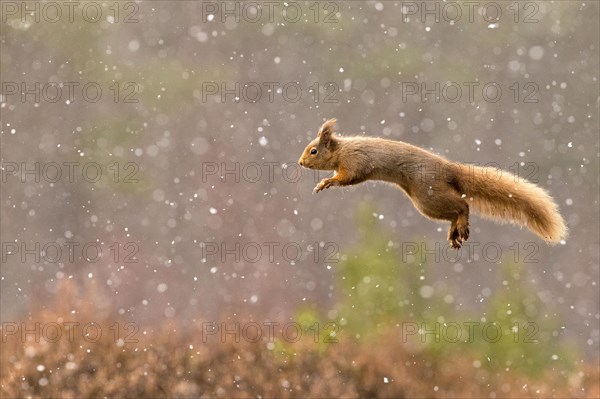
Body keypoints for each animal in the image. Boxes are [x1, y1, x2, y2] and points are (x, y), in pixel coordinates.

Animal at [298, 117, 568, 248]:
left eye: (313, 151)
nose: (300, 163)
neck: (342, 150)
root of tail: (450, 170)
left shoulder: (355, 163)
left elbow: (346, 178)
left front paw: (326, 182)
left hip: (429, 194)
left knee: (462, 205)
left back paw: (462, 225)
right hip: (425, 204)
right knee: (453, 212)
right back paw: (454, 232)